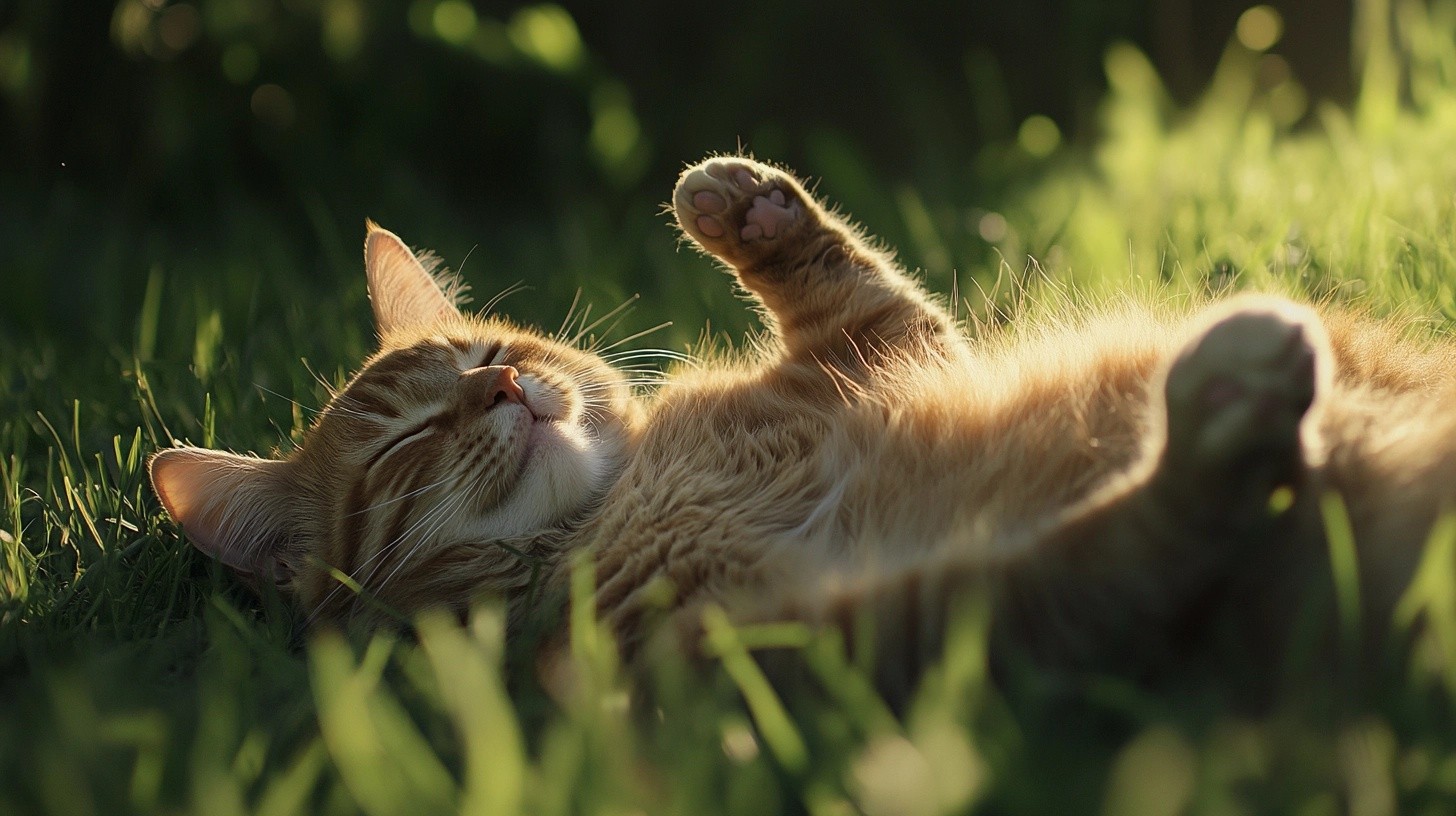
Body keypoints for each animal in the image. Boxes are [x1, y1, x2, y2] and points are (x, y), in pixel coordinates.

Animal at [144, 155, 1456, 699]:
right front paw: (1218, 425)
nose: (506, 394)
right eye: (407, 443)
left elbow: (855, 283)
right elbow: (1102, 552)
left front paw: (744, 206)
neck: (618, 497)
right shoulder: (832, 638)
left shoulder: (891, 353)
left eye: (490, 357)